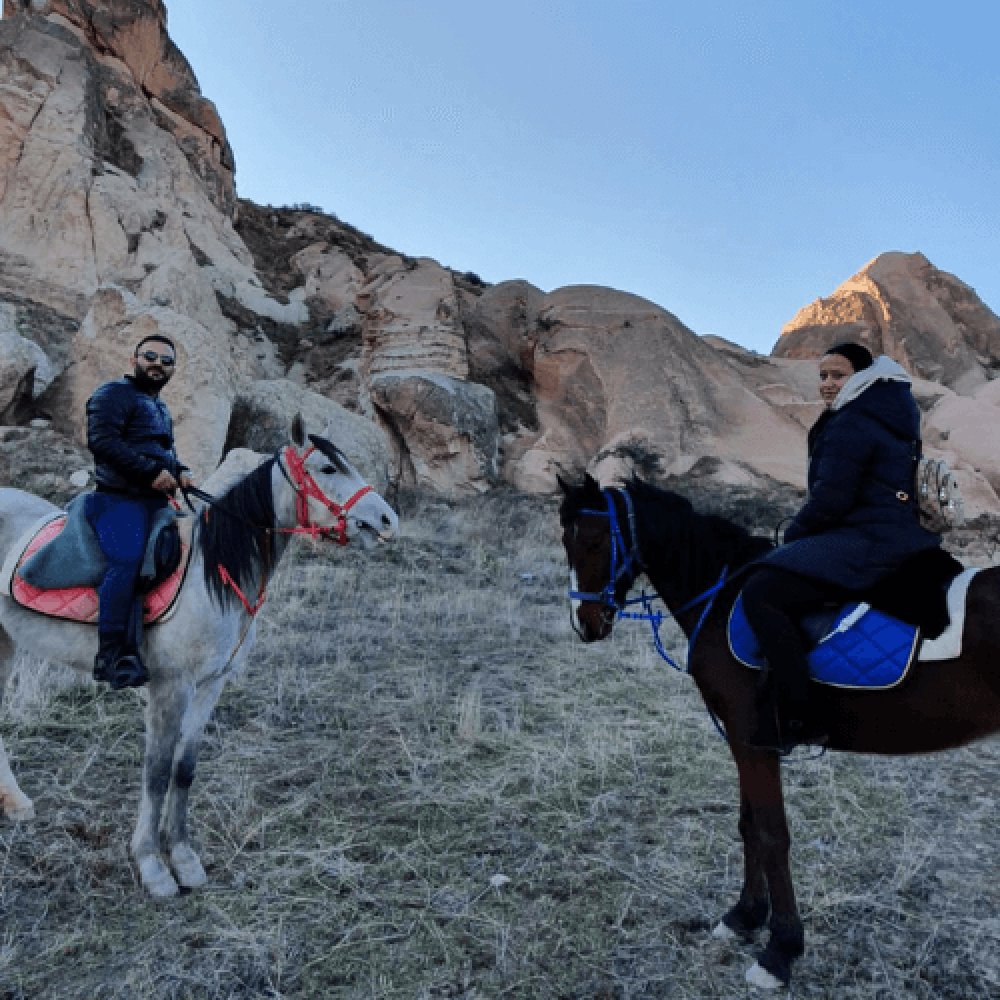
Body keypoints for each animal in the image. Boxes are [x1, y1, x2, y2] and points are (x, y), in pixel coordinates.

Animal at [0, 415, 398, 899]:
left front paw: (184, 859)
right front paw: (152, 866)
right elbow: (156, 772)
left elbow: (184, 769)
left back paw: (15, 803)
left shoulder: (211, 685)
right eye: (326, 467)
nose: (386, 519)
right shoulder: (170, 688)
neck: (213, 575)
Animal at [558, 472, 1000, 990]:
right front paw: (744, 916)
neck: (721, 595)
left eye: (593, 540)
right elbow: (748, 825)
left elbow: (772, 834)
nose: (584, 624)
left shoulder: (753, 741)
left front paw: (780, 949)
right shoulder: (741, 739)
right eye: (565, 541)